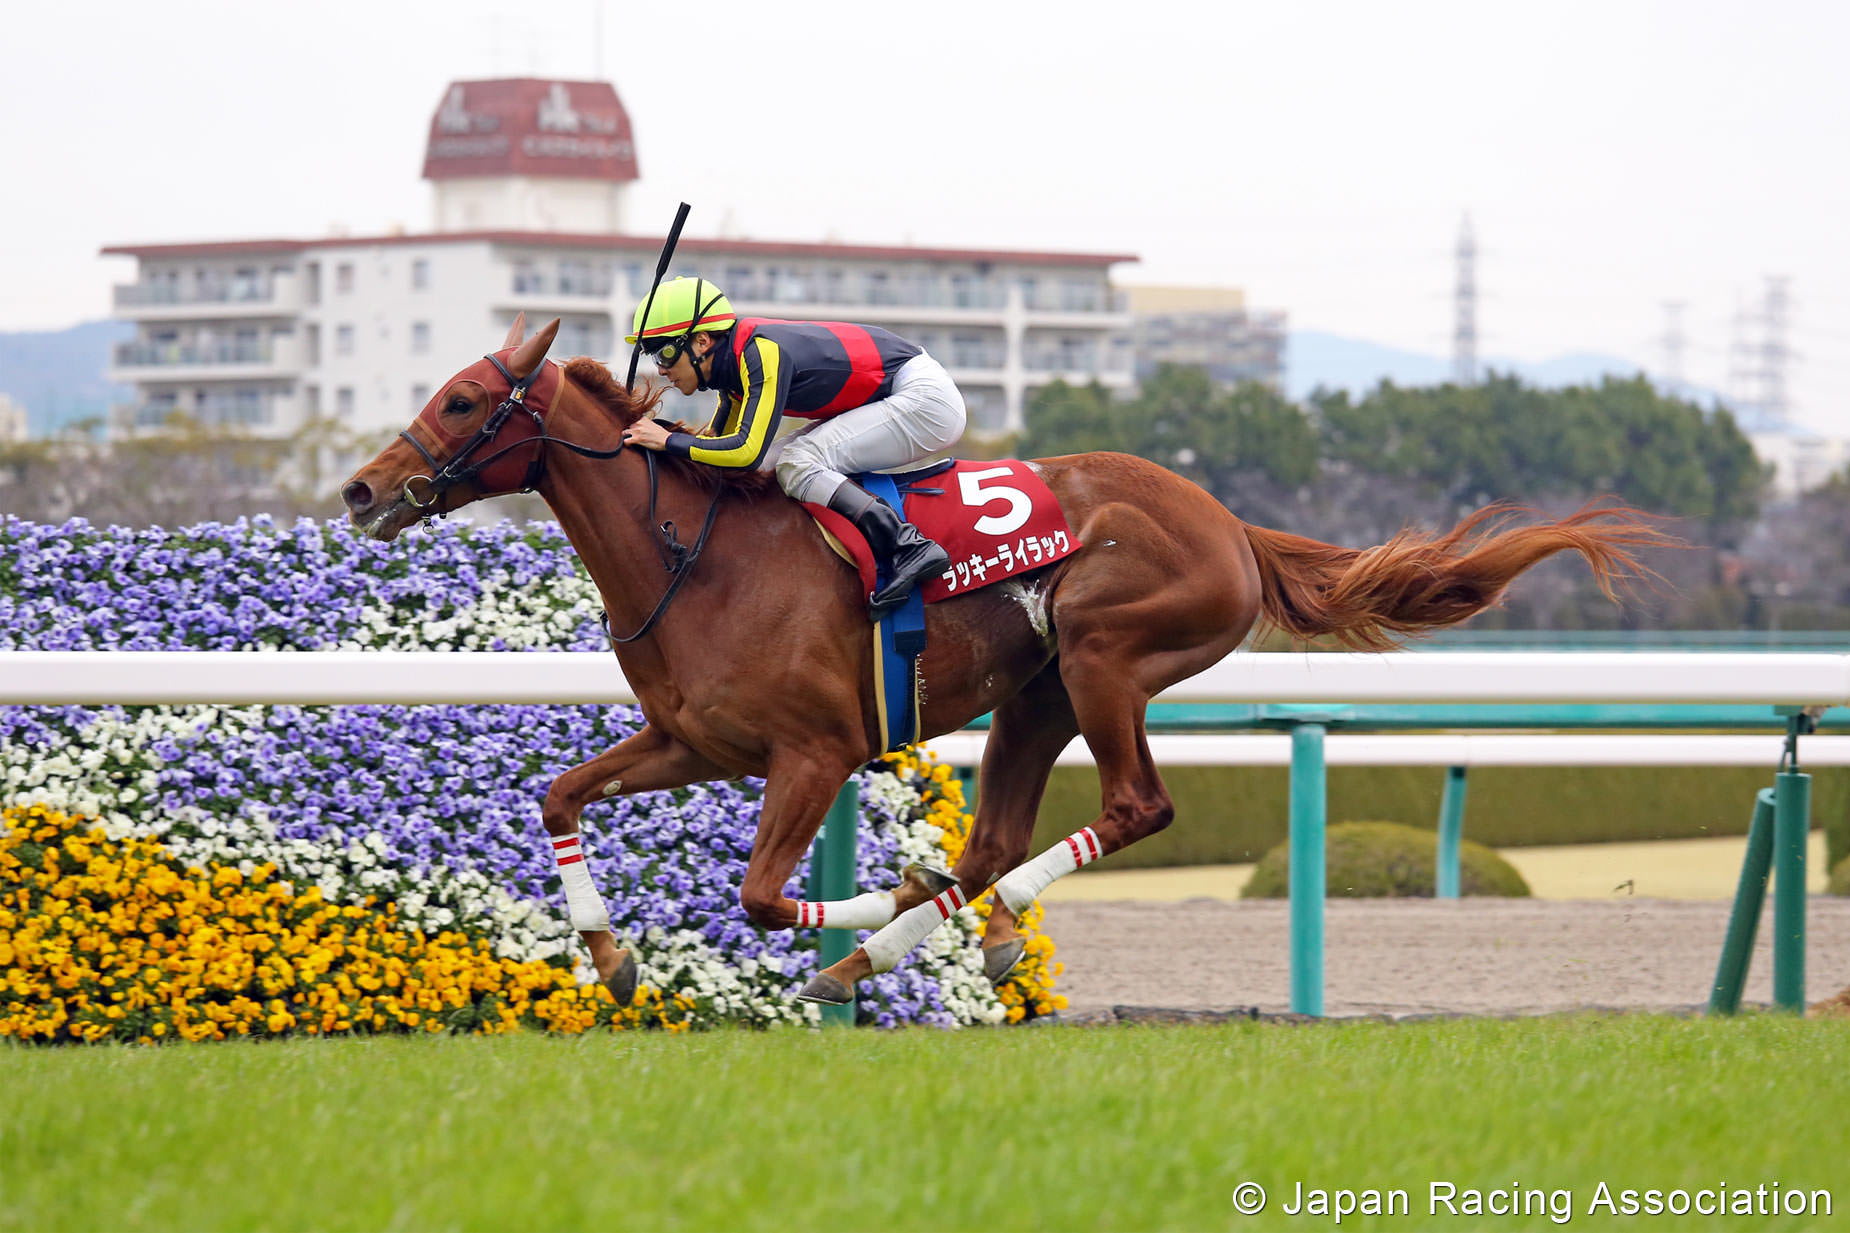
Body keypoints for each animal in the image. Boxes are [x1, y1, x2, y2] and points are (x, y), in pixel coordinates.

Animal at [340, 316, 1672, 1007]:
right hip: (1036, 696)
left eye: (462, 401)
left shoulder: (814, 751)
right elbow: (558, 794)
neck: (697, 554)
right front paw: (610, 957)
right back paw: (950, 923)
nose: (360, 489)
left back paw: (929, 934)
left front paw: (868, 916)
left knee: (1130, 807)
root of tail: (1227, 522)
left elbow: (765, 895)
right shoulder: (692, 741)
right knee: (994, 841)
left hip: (1102, 654)